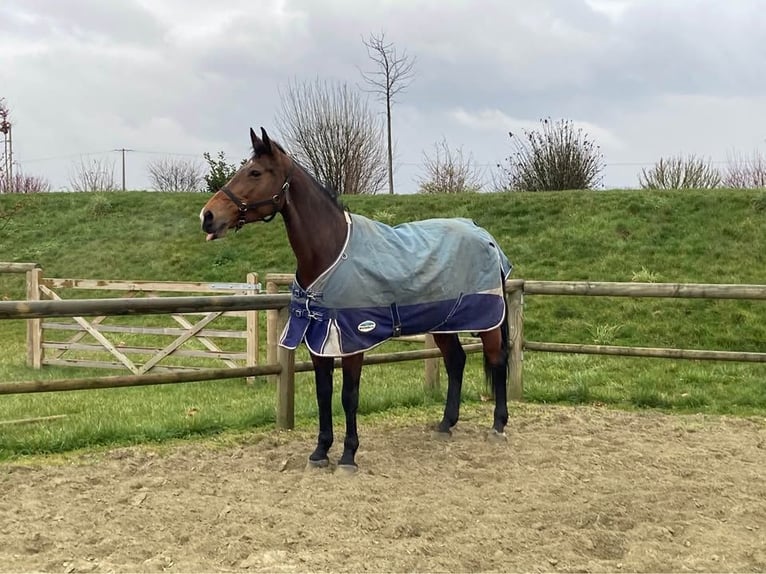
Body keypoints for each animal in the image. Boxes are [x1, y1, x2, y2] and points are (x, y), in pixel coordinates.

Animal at [201, 127, 513, 471]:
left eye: (255, 172)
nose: (208, 216)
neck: (330, 251)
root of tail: (484, 235)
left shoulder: (351, 340)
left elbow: (349, 396)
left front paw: (348, 455)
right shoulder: (318, 339)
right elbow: (324, 393)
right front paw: (320, 452)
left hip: (487, 321)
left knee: (497, 361)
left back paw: (498, 426)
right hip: (443, 323)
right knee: (456, 361)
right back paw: (445, 425)